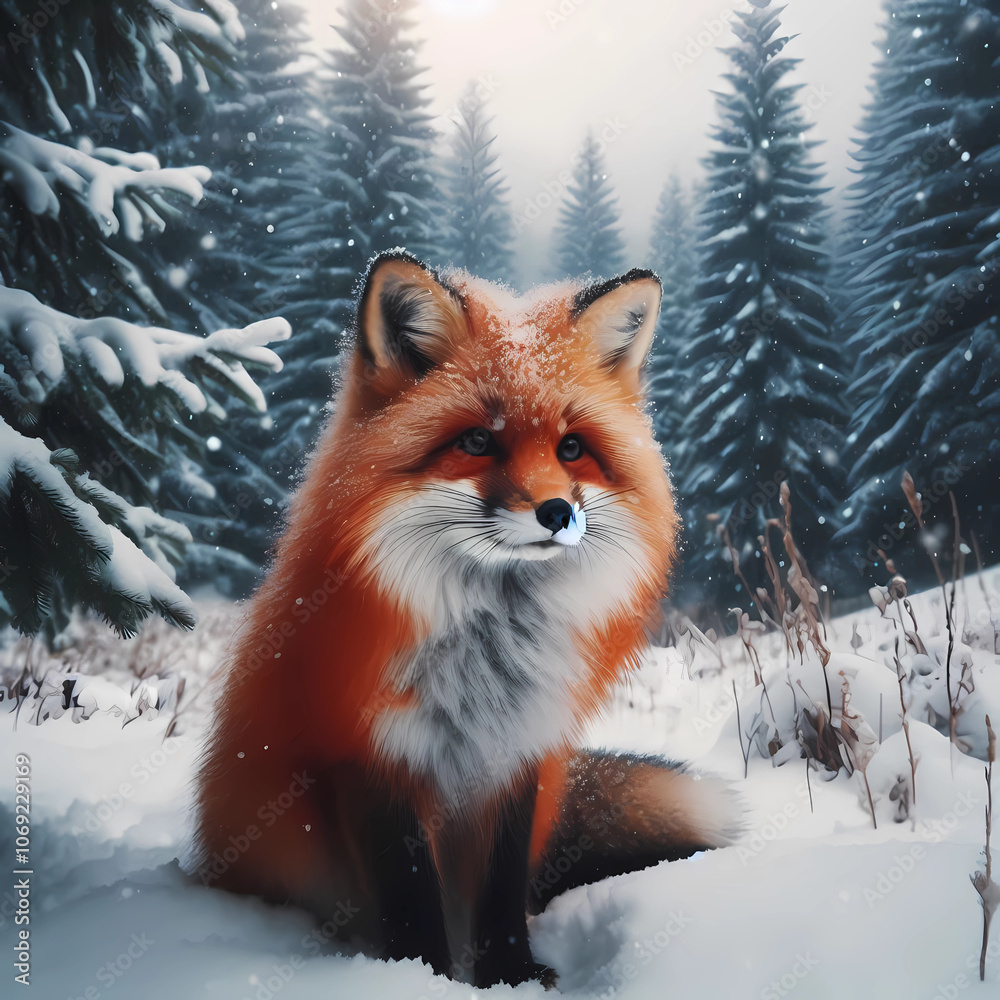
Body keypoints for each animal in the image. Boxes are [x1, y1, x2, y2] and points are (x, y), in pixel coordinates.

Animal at [194, 250, 734, 988]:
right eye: (478, 441)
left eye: (571, 449)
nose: (558, 513)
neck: (486, 664)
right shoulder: (369, 753)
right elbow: (407, 890)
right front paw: (415, 974)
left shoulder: (517, 754)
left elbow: (500, 892)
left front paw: (511, 974)